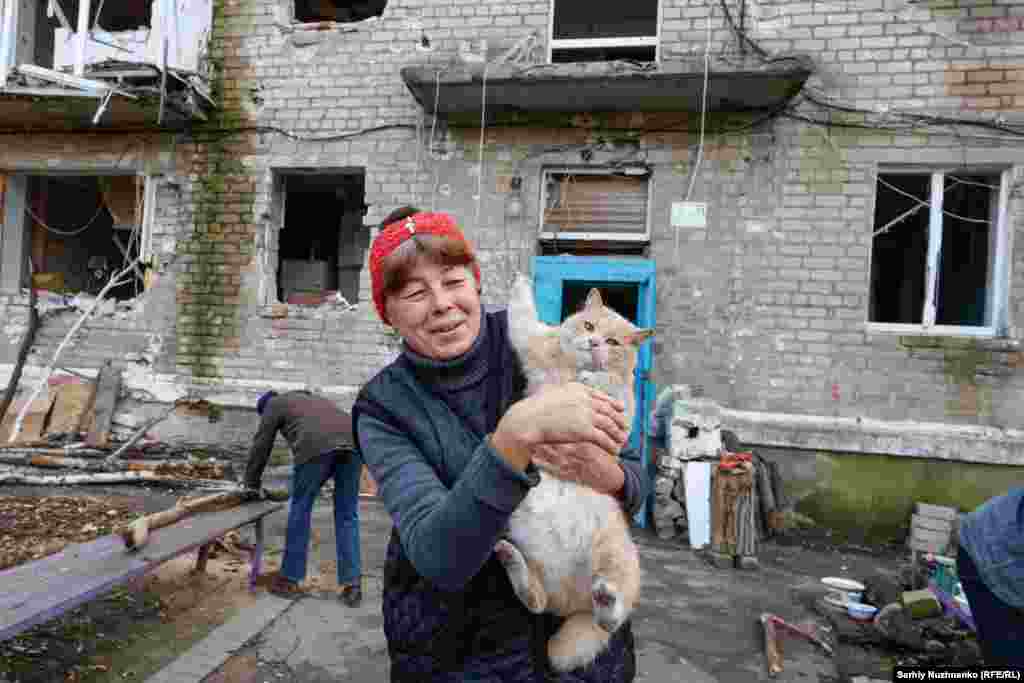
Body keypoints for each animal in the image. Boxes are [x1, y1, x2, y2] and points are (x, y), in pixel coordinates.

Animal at [497, 274, 655, 671]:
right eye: (589, 326)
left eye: (613, 342)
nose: (595, 343)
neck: (569, 371)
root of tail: (574, 602)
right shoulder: (532, 342)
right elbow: (521, 314)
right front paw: (521, 280)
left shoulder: (622, 408)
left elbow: (609, 385)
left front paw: (590, 379)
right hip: (534, 557)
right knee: (537, 601)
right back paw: (512, 562)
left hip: (617, 554)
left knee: (611, 617)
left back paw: (606, 600)